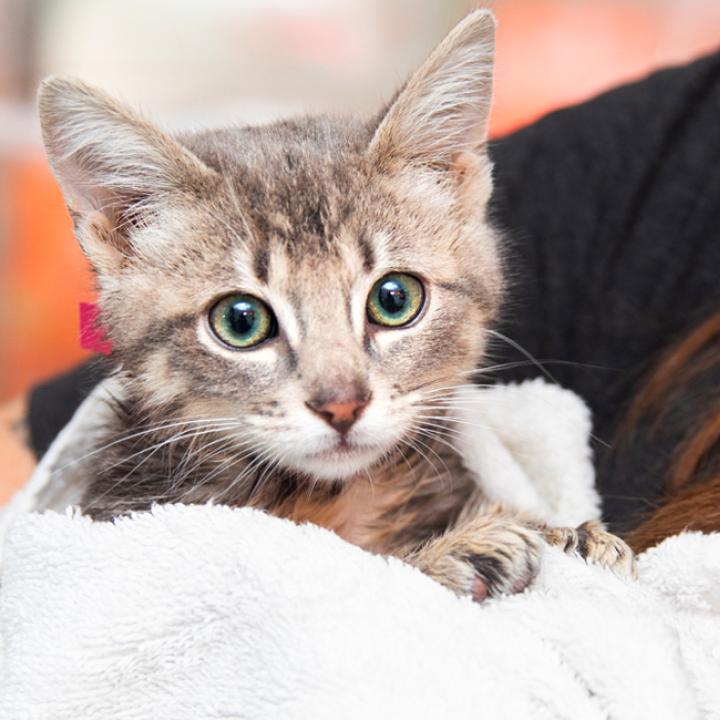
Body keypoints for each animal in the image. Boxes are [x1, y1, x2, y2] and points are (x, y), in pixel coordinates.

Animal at [40, 11, 636, 600]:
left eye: (395, 299)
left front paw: (566, 535)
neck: (328, 496)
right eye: (240, 320)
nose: (342, 406)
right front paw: (461, 549)